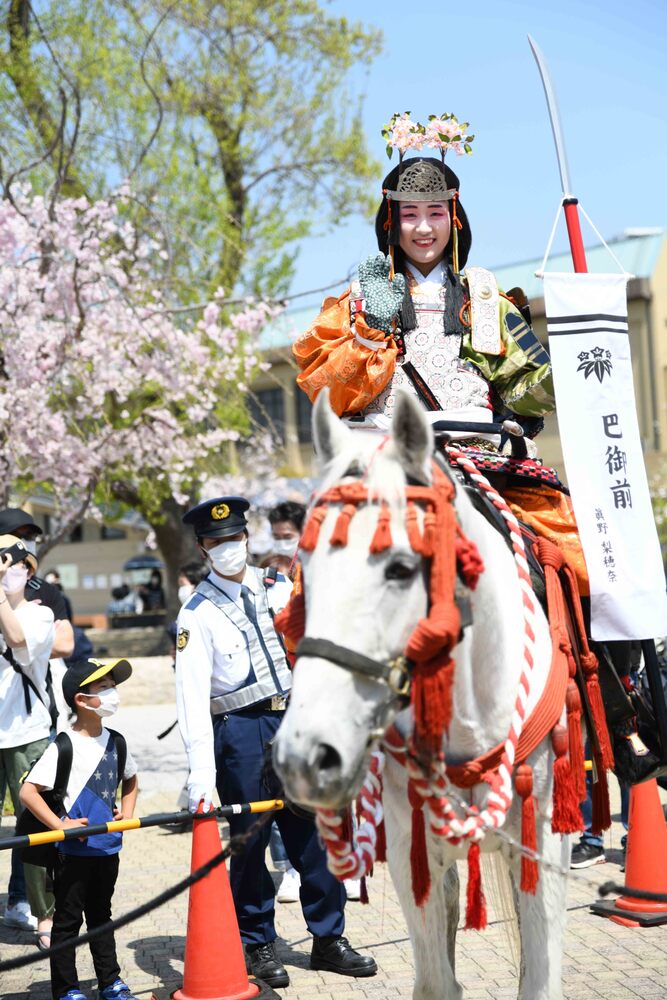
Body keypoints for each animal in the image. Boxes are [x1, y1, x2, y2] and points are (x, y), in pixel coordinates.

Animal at [274, 390, 572, 1000]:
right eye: (304, 571)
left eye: (400, 567)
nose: (304, 758)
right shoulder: (416, 852)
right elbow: (437, 981)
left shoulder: (544, 844)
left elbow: (540, 979)